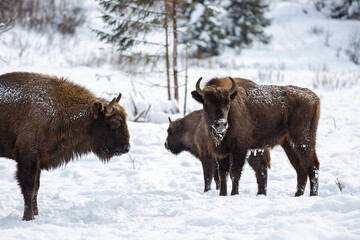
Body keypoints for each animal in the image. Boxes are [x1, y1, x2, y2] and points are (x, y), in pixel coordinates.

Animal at [0, 72, 129, 220]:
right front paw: (29, 217)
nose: (126, 148)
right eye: (115, 122)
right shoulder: (28, 158)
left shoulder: (37, 161)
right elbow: (29, 189)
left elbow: (36, 188)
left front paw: (36, 214)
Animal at [191, 77, 320, 197]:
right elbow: (223, 174)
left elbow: (235, 172)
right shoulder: (221, 152)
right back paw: (297, 195)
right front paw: (222, 194)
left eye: (227, 104)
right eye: (207, 103)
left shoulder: (240, 149)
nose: (221, 124)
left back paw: (312, 195)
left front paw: (234, 194)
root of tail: (313, 96)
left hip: (303, 141)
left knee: (313, 165)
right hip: (289, 145)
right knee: (301, 169)